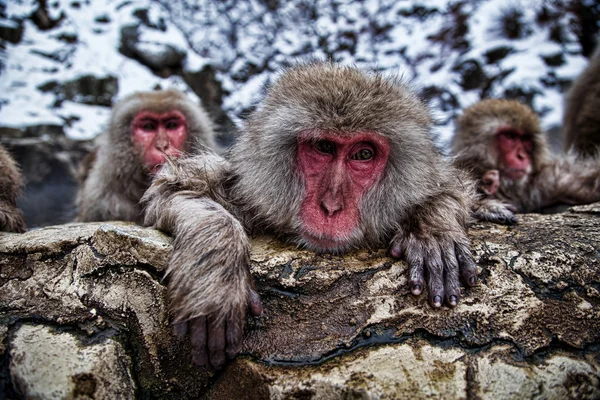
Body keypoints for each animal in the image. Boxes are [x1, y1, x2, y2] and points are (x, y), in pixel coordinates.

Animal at [143, 61, 480, 368]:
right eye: (323, 147)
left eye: (363, 154)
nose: (330, 207)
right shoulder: (243, 190)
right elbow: (172, 189)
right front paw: (216, 278)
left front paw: (433, 230)